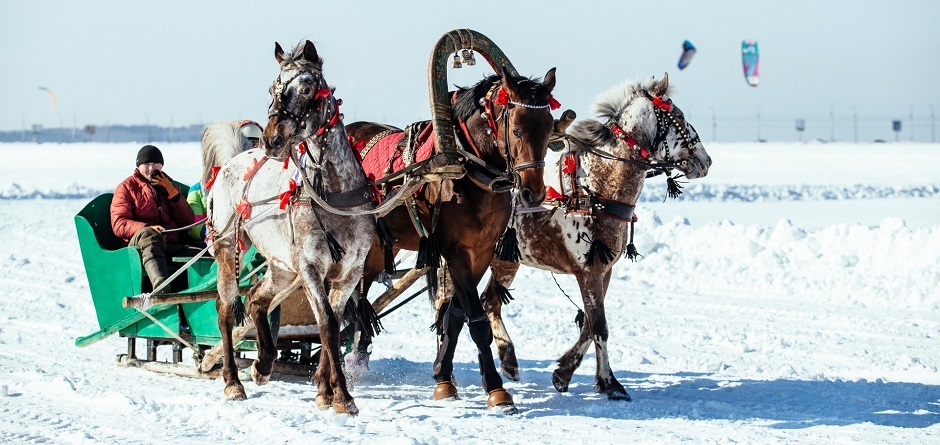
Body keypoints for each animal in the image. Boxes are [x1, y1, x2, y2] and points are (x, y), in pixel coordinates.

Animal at [205, 40, 375, 415]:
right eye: (272, 89)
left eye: (307, 87)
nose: (270, 140)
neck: (335, 197)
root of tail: (232, 162)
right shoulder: (310, 267)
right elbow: (326, 323)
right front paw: (342, 396)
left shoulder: (350, 272)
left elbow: (332, 324)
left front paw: (325, 391)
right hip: (227, 246)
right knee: (226, 309)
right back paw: (233, 382)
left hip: (282, 265)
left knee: (256, 298)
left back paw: (264, 363)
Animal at [345, 67, 557, 413]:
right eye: (516, 129)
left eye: (549, 127)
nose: (533, 193)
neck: (469, 172)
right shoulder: (456, 252)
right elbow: (477, 320)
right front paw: (497, 390)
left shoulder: (482, 252)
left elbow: (455, 316)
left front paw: (443, 378)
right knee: (350, 298)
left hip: (380, 246)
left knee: (362, 299)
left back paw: (357, 356)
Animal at [461, 73, 711, 400]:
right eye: (678, 116)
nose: (705, 160)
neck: (596, 188)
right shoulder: (588, 271)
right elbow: (599, 326)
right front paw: (610, 383)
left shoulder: (603, 270)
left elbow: (590, 326)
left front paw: (563, 371)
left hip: (506, 259)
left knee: (490, 301)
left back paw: (509, 359)